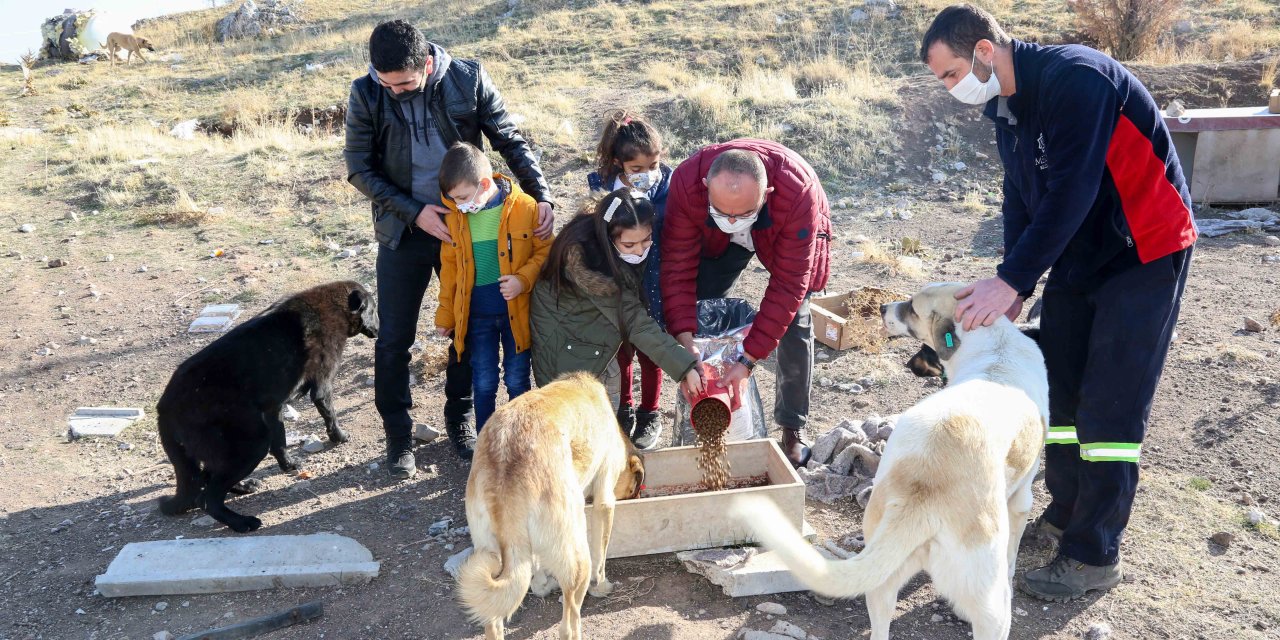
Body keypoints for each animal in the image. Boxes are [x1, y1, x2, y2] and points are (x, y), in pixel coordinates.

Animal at [156, 282, 376, 532]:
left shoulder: (273, 407)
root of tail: (163, 408)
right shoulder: (321, 386)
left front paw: (288, 465)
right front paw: (339, 436)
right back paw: (242, 522)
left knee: (206, 480)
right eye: (375, 309)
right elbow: (329, 413)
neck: (335, 307)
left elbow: (280, 442)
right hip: (251, 444)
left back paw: (243, 487)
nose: (379, 329)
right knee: (207, 498)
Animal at [455, 373, 645, 640]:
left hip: (493, 549)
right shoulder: (604, 502)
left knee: (493, 621)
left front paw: (543, 584)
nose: (637, 496)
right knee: (569, 625)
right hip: (577, 556)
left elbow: (537, 572)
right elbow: (602, 556)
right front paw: (601, 586)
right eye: (632, 489)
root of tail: (505, 464)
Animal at [732, 285, 1049, 640]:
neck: (996, 346)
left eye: (912, 307)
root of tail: (923, 492)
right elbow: (1013, 550)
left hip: (882, 574)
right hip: (991, 603)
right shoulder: (1022, 499)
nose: (883, 307)